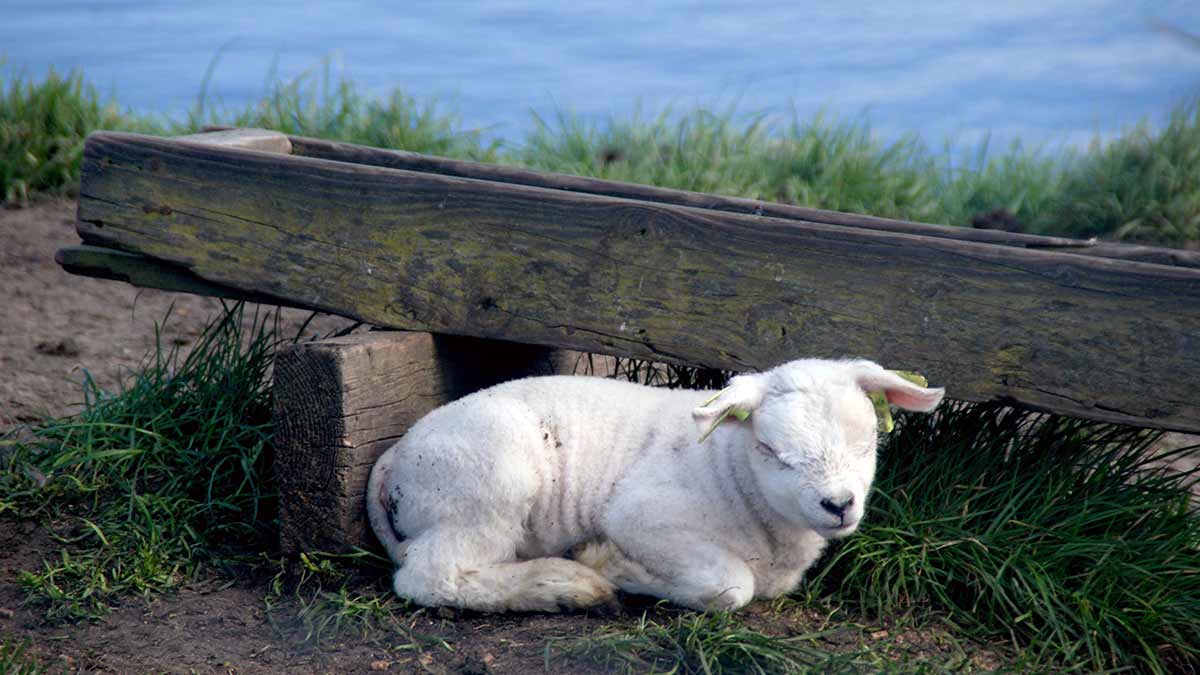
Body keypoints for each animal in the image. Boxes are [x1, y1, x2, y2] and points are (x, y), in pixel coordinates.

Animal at [365, 358, 944, 613]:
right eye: (771, 450)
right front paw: (612, 566)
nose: (838, 504)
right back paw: (566, 585)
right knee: (429, 577)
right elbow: (731, 586)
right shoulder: (641, 515)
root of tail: (395, 455)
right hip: (489, 481)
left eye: (867, 443)